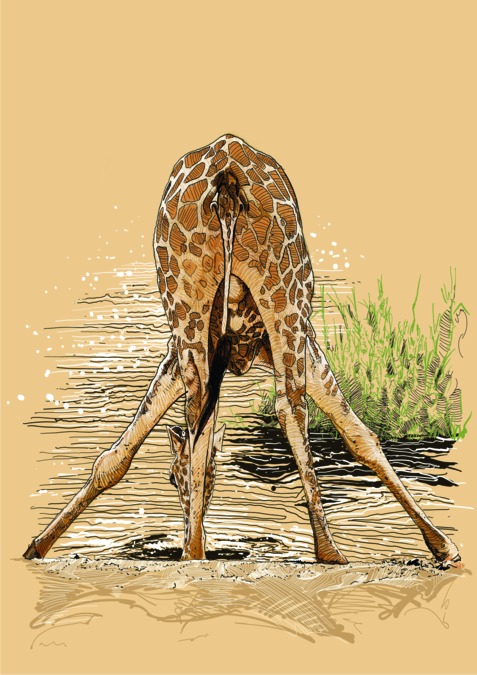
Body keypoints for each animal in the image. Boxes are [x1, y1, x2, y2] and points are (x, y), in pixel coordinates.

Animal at [24, 134, 462, 566]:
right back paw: (321, 553)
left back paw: (205, 554)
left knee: (218, 409)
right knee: (280, 407)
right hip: (276, 302)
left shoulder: (205, 350)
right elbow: (358, 433)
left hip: (205, 309)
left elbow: (360, 435)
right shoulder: (292, 341)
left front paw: (443, 545)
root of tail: (228, 175)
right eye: (170, 478)